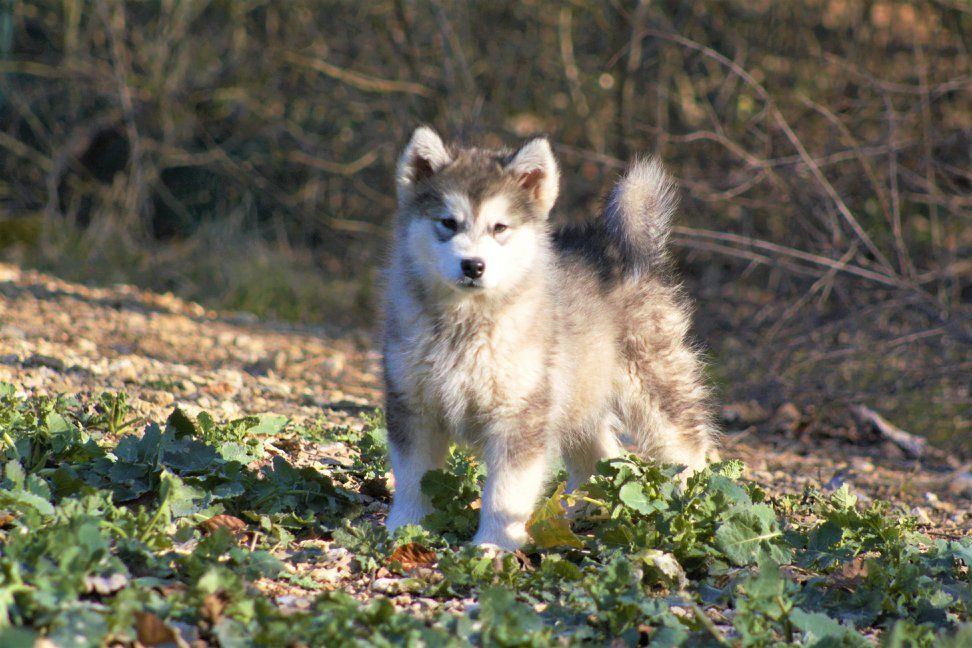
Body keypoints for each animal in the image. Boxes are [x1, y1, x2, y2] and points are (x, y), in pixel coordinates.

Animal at [384, 128, 716, 552]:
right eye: (448, 222)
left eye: (500, 228)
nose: (473, 266)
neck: (467, 323)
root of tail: (611, 244)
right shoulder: (412, 405)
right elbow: (412, 477)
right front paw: (405, 527)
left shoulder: (520, 414)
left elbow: (505, 491)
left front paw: (494, 545)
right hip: (578, 396)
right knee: (600, 459)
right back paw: (572, 516)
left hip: (655, 391)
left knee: (687, 451)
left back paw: (689, 508)